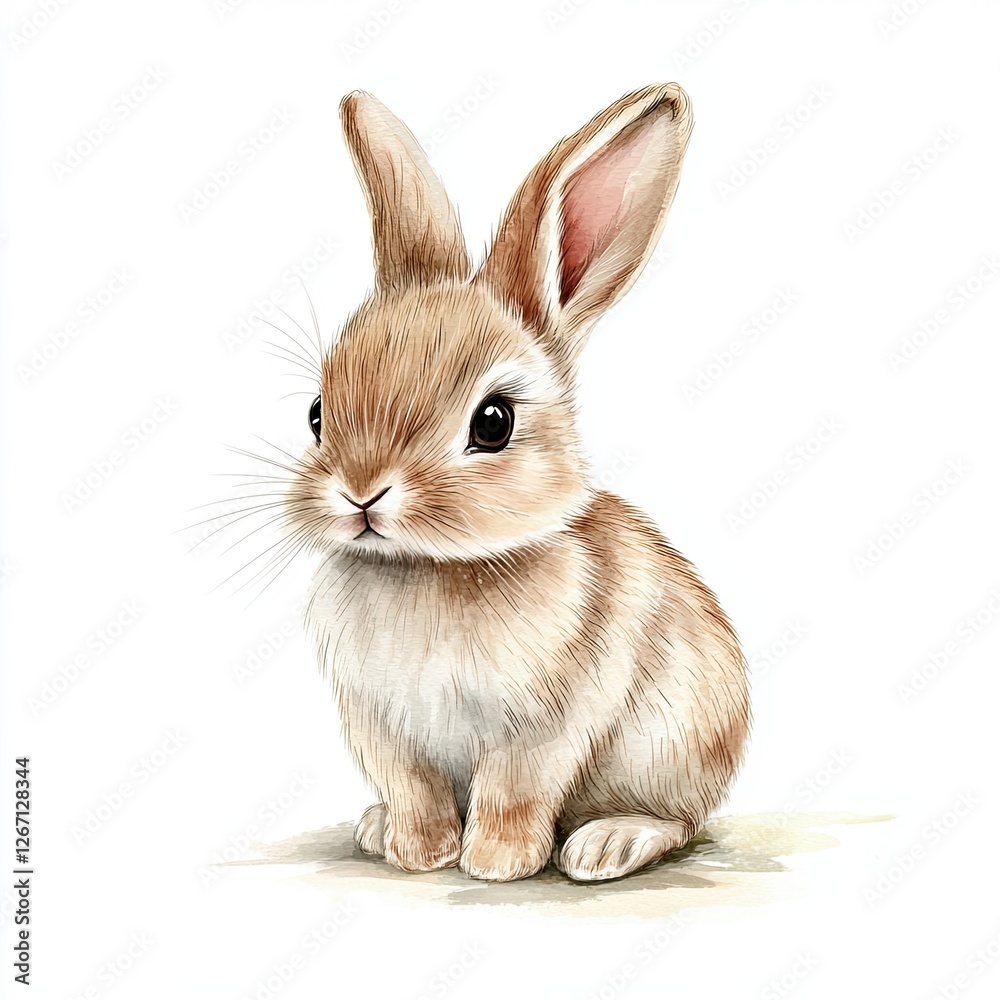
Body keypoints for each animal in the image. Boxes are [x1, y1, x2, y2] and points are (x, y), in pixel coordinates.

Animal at [287, 83, 750, 882]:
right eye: (317, 414)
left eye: (494, 422)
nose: (360, 493)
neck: (432, 569)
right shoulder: (380, 724)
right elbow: (414, 789)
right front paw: (417, 853)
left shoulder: (546, 722)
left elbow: (514, 789)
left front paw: (495, 864)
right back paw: (375, 826)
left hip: (677, 743)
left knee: (681, 819)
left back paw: (607, 844)